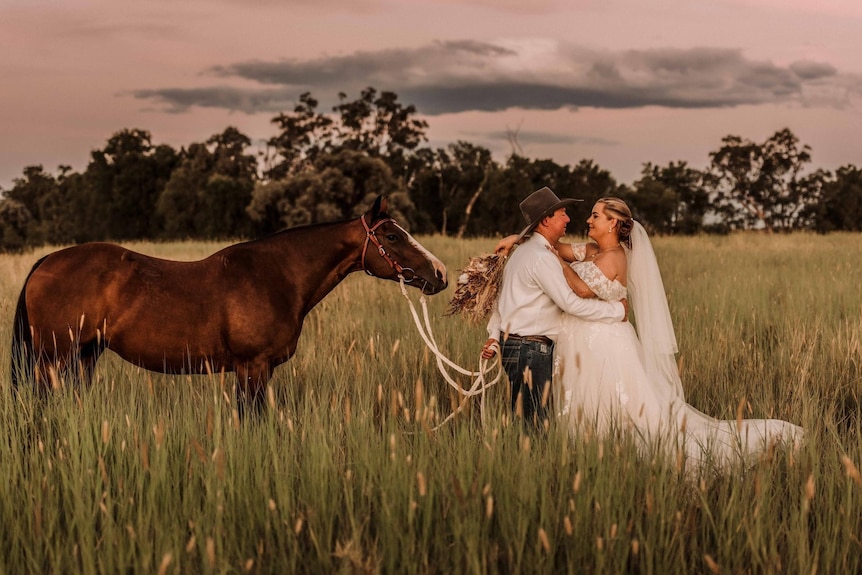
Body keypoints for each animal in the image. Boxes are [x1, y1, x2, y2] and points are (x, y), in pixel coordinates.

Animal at [10, 197, 448, 410]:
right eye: (391, 236)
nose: (440, 273)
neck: (277, 276)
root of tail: (46, 262)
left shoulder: (259, 371)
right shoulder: (251, 368)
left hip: (84, 355)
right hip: (52, 359)